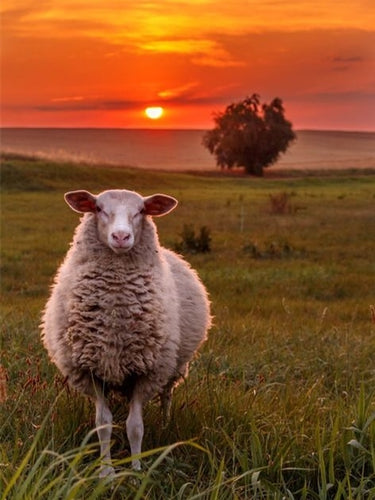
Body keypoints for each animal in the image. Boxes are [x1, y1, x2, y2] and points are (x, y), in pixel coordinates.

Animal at [41, 188, 212, 476]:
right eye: (98, 208)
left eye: (141, 210)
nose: (121, 237)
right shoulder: (91, 372)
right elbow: (103, 424)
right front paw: (106, 471)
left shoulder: (147, 372)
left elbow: (135, 427)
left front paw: (136, 469)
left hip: (172, 366)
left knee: (167, 395)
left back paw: (166, 424)